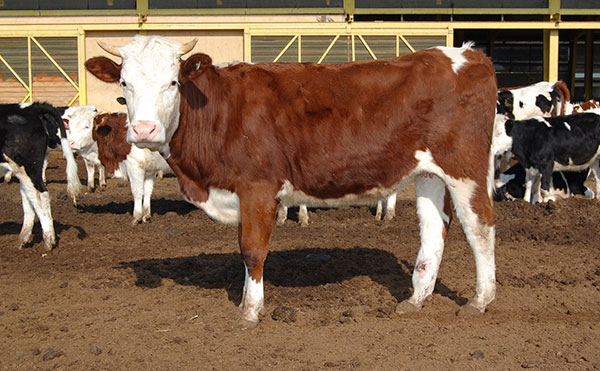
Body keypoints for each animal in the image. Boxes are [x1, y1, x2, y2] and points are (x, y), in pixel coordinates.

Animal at [84, 35, 496, 328]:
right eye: (124, 83)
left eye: (172, 82)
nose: (144, 130)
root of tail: (466, 55)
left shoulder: (257, 186)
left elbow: (252, 250)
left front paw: (250, 311)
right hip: (428, 173)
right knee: (434, 229)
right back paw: (415, 299)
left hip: (465, 167)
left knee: (480, 227)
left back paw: (480, 300)